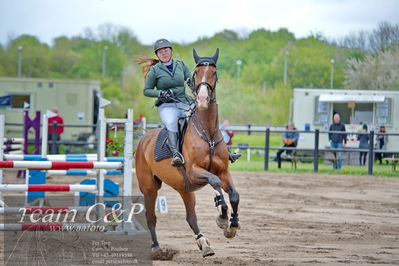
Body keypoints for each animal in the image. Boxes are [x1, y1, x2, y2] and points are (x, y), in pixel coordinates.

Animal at [136, 48, 241, 258]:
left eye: (214, 73)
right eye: (196, 73)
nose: (202, 100)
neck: (208, 134)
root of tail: (143, 140)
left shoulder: (223, 172)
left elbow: (234, 195)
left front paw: (232, 226)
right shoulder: (195, 172)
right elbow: (216, 183)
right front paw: (222, 216)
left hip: (184, 188)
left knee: (191, 217)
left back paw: (205, 245)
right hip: (150, 188)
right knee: (151, 217)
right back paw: (156, 248)